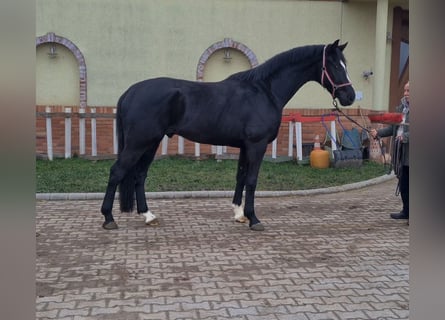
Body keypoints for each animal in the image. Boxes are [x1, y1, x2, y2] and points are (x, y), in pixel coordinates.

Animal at [99, 39, 354, 230]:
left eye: (345, 64)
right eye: (334, 66)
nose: (350, 96)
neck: (264, 91)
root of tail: (130, 92)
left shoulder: (244, 146)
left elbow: (240, 177)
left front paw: (239, 214)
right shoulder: (256, 145)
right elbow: (251, 180)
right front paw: (254, 219)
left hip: (151, 142)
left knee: (139, 175)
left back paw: (148, 216)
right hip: (139, 143)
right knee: (117, 172)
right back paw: (109, 218)